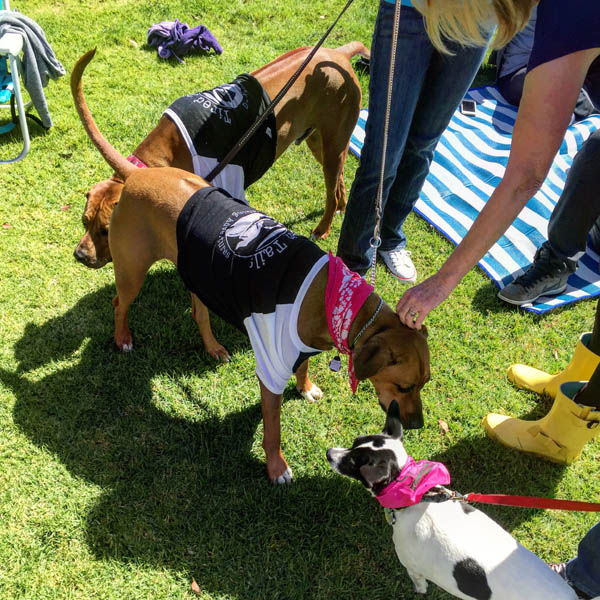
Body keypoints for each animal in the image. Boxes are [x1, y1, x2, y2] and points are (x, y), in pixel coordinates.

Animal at [72, 41, 368, 268]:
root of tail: (339, 53)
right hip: (320, 143)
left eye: (106, 230)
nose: (80, 256)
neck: (163, 157)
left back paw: (324, 227)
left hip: (332, 144)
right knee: (339, 182)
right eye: (84, 221)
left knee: (332, 190)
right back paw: (340, 207)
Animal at [326, 404, 580, 600]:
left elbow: (419, 583)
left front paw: (418, 591)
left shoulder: (411, 565)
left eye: (353, 464)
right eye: (355, 441)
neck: (417, 496)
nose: (329, 453)